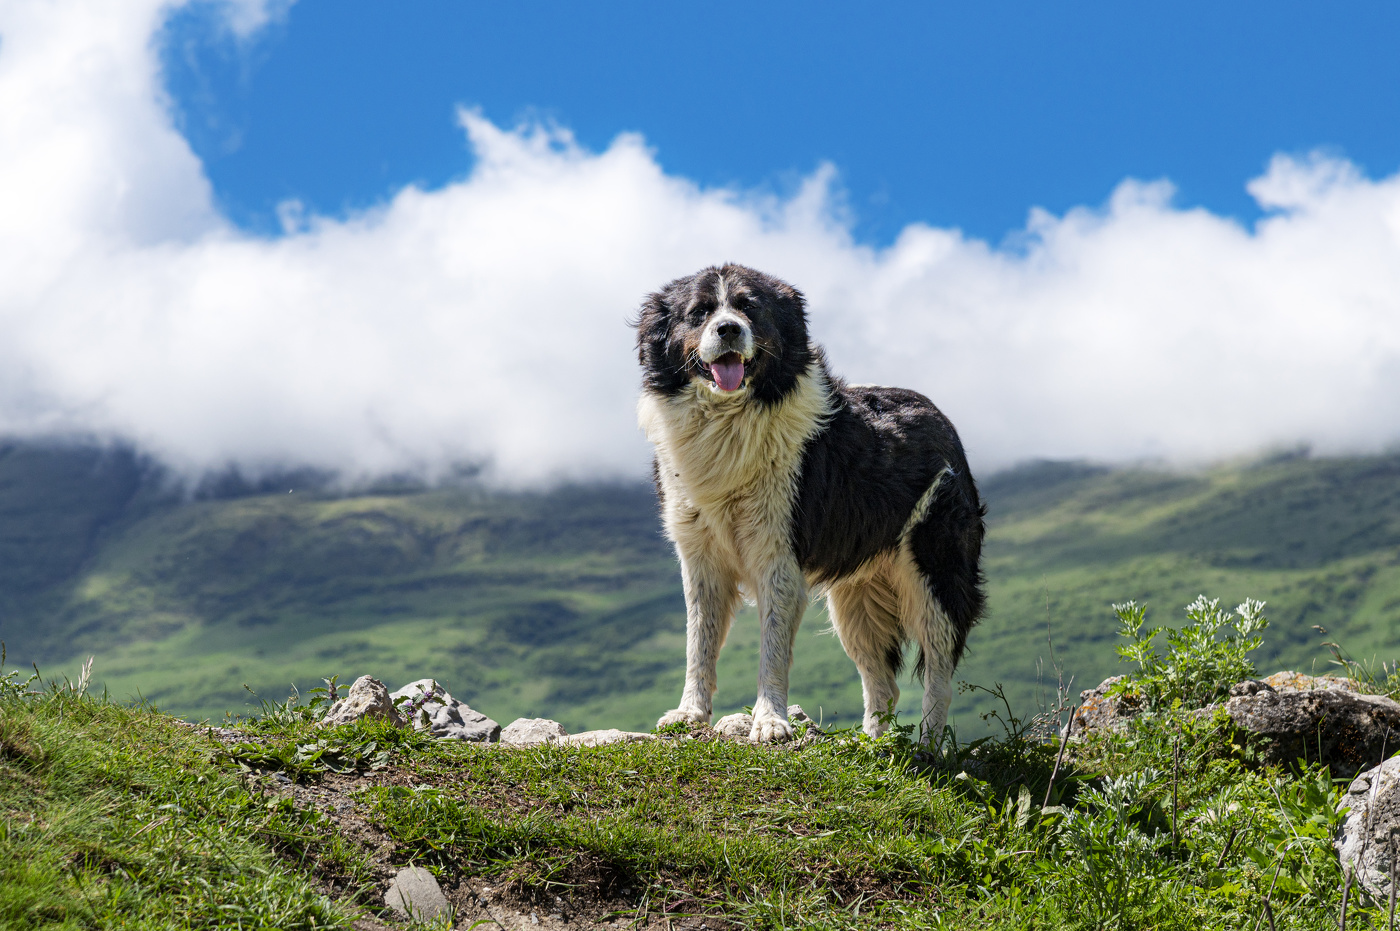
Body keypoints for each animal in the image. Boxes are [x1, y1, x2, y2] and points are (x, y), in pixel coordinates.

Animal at [635, 264, 985, 744]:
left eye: (749, 307)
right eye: (699, 312)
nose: (728, 329)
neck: (728, 421)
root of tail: (942, 418)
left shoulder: (778, 555)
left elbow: (772, 649)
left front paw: (770, 722)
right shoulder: (700, 556)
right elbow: (698, 643)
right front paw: (689, 714)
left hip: (933, 571)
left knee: (938, 671)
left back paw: (928, 747)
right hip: (857, 601)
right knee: (883, 682)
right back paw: (873, 744)